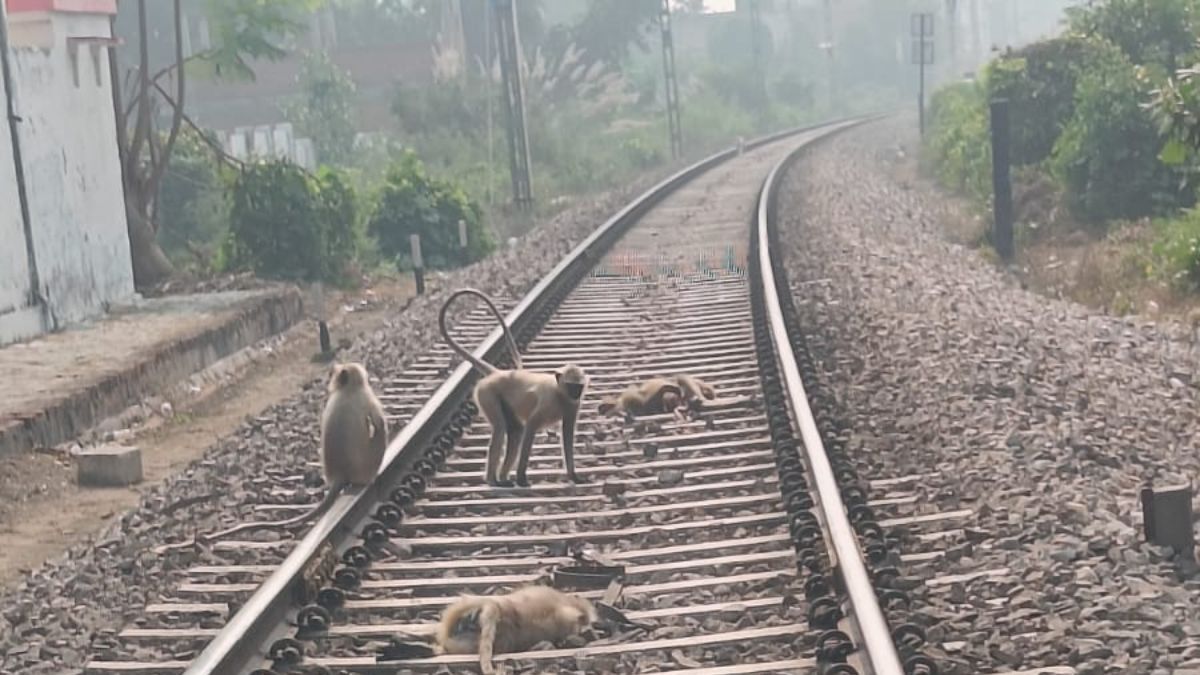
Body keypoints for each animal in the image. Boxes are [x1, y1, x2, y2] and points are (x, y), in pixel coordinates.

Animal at [198, 362, 388, 542]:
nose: (330, 375)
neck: (349, 389)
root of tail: (340, 474)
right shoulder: (368, 398)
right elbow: (379, 424)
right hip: (368, 467)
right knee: (379, 436)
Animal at [439, 288, 589, 488]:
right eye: (571, 386)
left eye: (578, 387)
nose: (576, 393)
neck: (560, 394)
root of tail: (497, 373)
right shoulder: (549, 401)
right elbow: (531, 427)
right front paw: (521, 477)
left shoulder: (573, 405)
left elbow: (567, 435)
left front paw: (573, 475)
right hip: (487, 393)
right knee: (501, 428)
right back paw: (493, 480)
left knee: (515, 430)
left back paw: (503, 478)